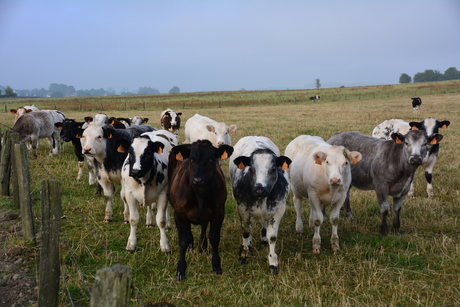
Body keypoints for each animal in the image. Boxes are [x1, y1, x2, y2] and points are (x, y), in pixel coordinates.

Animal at [167, 141, 234, 282]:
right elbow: (183, 239)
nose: (198, 180)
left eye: (211, 159)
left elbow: (214, 238)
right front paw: (181, 269)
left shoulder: (219, 212)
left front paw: (216, 265)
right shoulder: (179, 213)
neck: (200, 195)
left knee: (203, 228)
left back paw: (203, 247)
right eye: (192, 159)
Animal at [230, 136, 292, 276]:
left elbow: (272, 237)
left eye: (273, 169)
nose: (260, 190)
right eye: (251, 169)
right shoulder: (242, 207)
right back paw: (249, 244)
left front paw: (273, 262)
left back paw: (263, 238)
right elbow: (246, 231)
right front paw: (243, 254)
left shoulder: (279, 209)